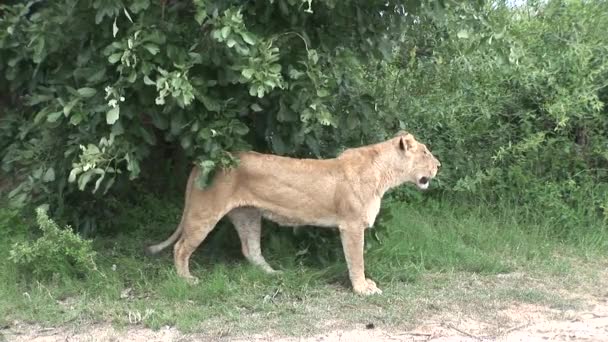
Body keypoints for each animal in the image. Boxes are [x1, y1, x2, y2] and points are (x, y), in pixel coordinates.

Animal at [147, 131, 442, 294]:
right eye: (426, 152)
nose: (439, 165)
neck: (385, 175)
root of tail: (202, 162)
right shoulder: (351, 224)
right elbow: (356, 260)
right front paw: (362, 288)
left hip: (248, 215)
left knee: (250, 249)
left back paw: (273, 274)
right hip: (204, 213)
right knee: (181, 247)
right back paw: (187, 280)